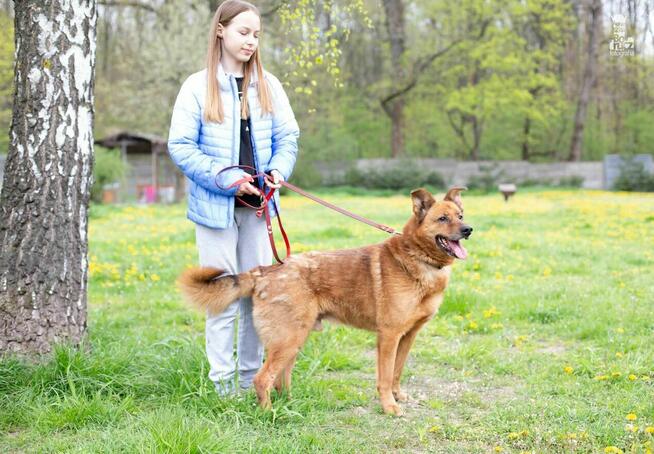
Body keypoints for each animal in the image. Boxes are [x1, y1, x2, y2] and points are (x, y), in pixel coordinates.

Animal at [179, 187, 474, 414]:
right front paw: (389, 406)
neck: (418, 259)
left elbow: (397, 372)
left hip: (295, 338)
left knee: (280, 379)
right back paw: (269, 414)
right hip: (288, 338)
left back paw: (290, 404)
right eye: (442, 218)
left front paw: (398, 396)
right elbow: (385, 376)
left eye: (460, 216)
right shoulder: (389, 336)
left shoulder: (408, 336)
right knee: (262, 379)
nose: (468, 229)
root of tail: (264, 270)